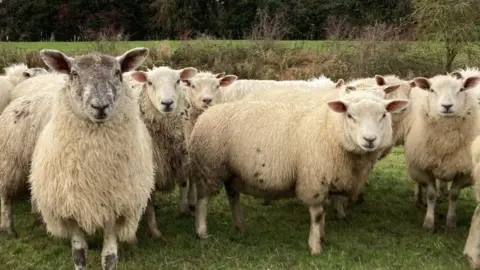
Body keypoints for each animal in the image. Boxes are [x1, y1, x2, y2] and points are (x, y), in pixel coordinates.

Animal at [28, 48, 155, 270]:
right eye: (74, 74)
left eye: (117, 72)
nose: (100, 106)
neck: (95, 171)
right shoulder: (71, 211)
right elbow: (79, 254)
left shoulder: (115, 210)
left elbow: (110, 257)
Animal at [188, 89, 408, 254]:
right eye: (350, 115)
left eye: (384, 115)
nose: (370, 140)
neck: (330, 131)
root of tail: (206, 114)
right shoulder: (314, 178)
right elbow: (317, 214)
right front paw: (315, 246)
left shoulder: (324, 180)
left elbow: (324, 211)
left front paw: (322, 237)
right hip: (209, 167)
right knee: (203, 200)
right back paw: (202, 232)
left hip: (233, 171)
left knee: (233, 196)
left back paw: (240, 226)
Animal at [402, 74, 480, 232]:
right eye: (432, 90)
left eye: (461, 89)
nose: (447, 106)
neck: (445, 142)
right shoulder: (423, 167)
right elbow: (431, 194)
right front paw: (429, 223)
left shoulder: (464, 170)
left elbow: (454, 195)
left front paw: (451, 222)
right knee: (419, 184)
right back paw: (419, 198)